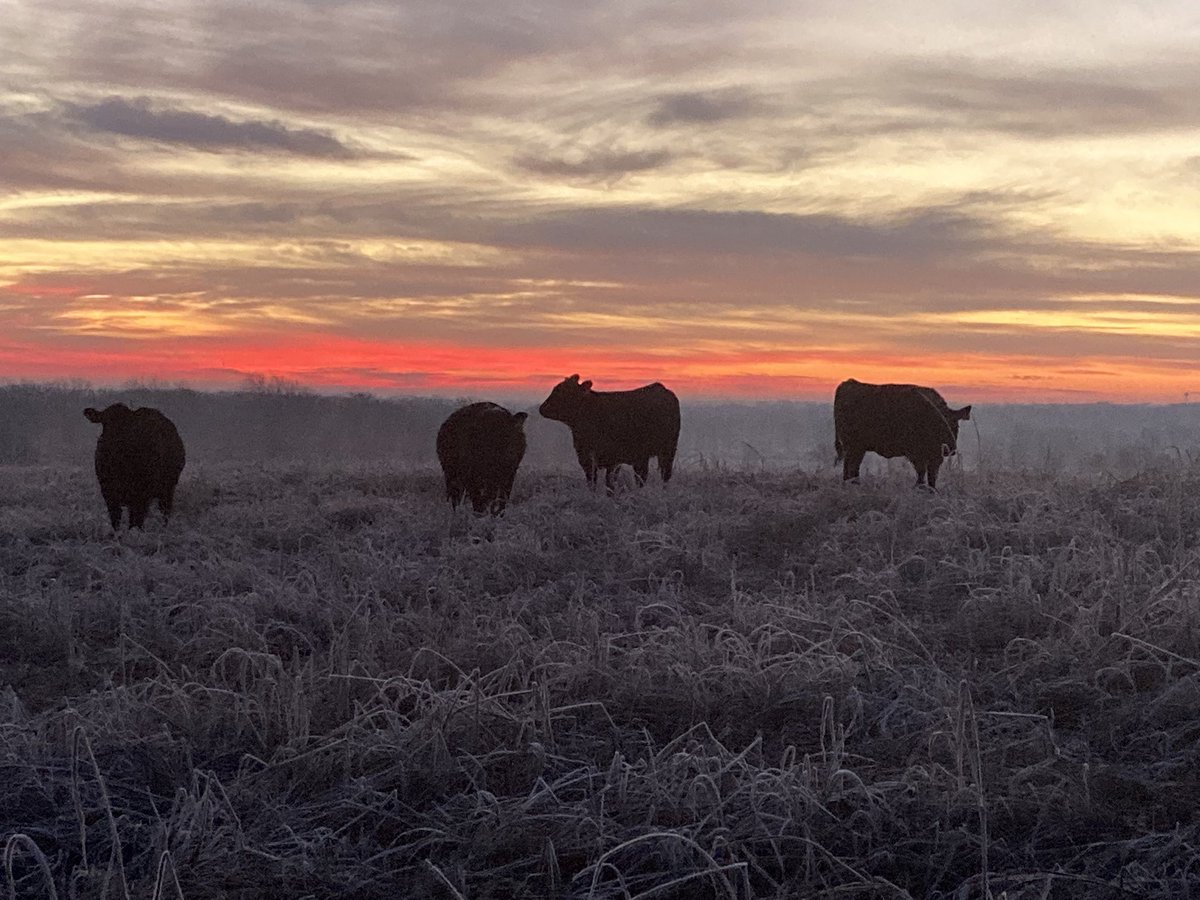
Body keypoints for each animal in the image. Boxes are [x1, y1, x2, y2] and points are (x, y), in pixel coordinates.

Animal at [538, 375, 680, 492]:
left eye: (563, 392)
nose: (542, 408)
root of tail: (662, 389)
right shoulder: (586, 457)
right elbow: (592, 481)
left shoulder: (612, 459)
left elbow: (609, 483)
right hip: (643, 456)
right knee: (641, 477)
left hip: (668, 451)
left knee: (664, 475)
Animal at [834, 379, 971, 490]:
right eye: (942, 426)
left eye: (956, 426)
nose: (951, 448)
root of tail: (849, 383)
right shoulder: (916, 452)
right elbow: (922, 472)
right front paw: (919, 488)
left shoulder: (935, 455)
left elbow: (932, 475)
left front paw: (932, 491)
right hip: (852, 446)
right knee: (850, 467)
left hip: (857, 448)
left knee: (852, 467)